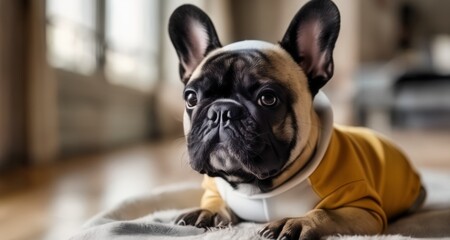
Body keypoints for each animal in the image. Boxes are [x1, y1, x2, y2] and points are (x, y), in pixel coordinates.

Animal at [168, 0, 426, 239]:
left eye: (268, 99)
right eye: (191, 98)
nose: (222, 110)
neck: (256, 187)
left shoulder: (364, 208)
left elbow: (326, 212)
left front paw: (296, 222)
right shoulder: (213, 189)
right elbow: (214, 200)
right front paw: (207, 211)